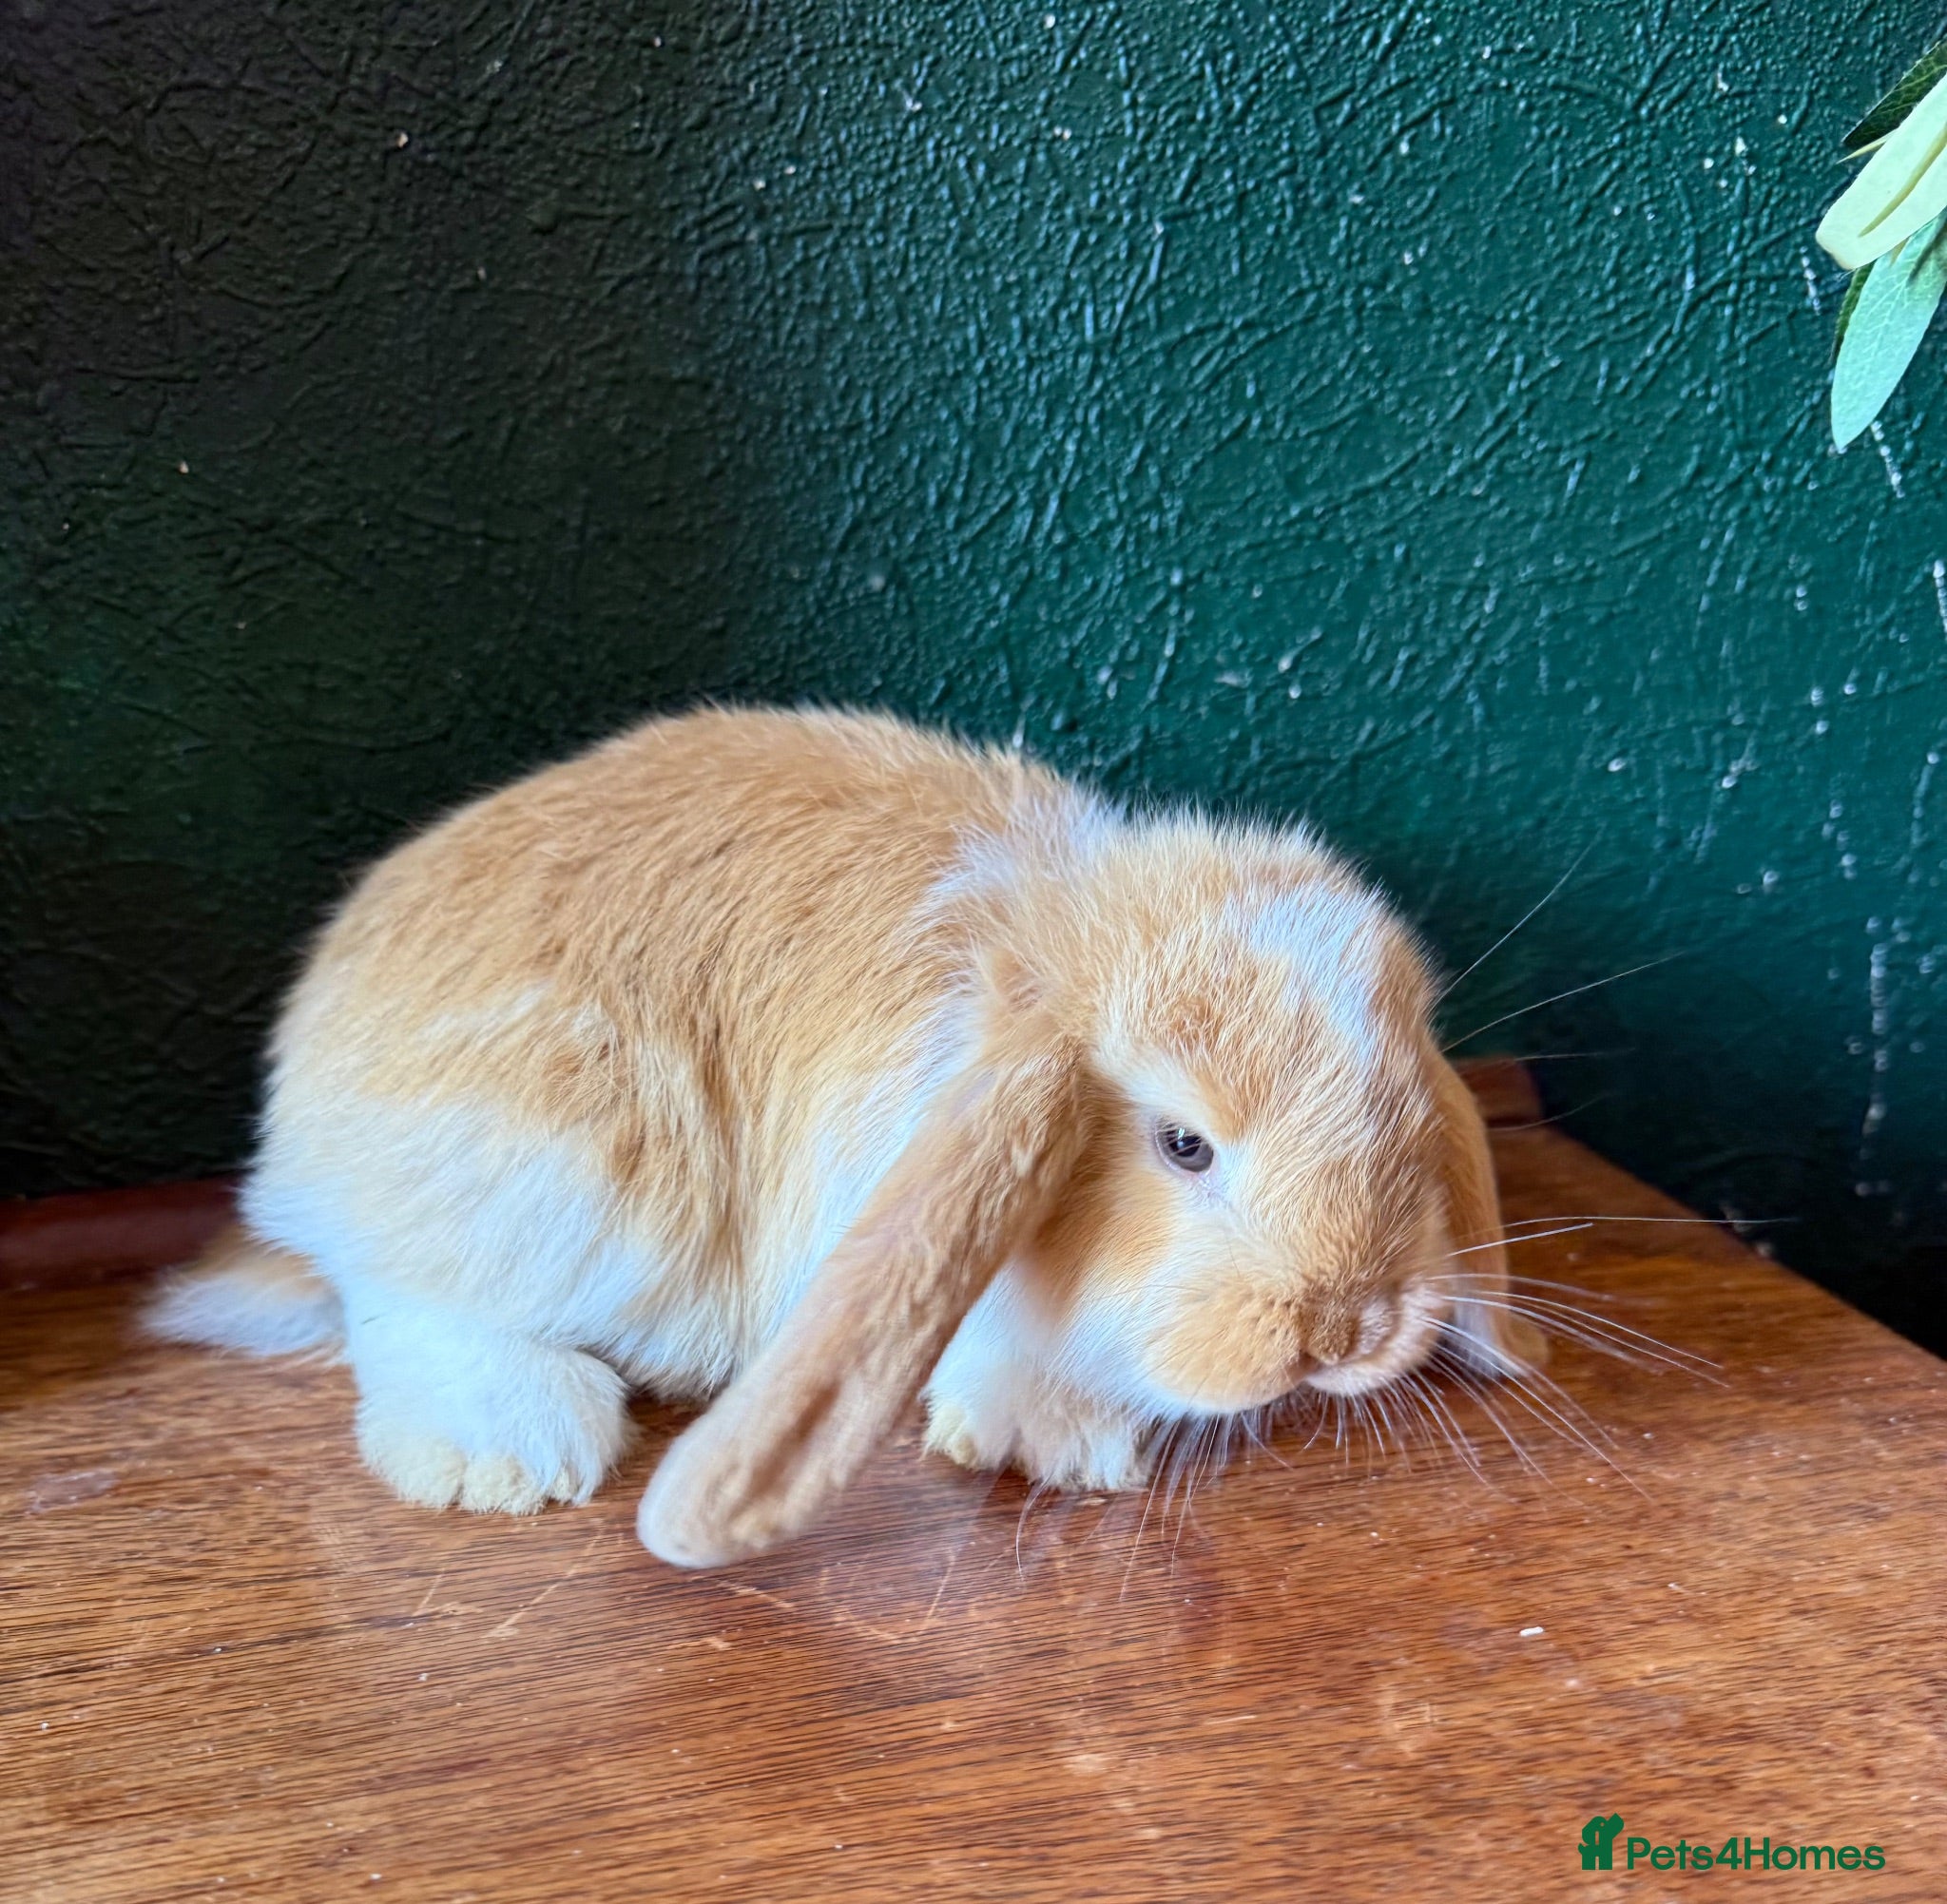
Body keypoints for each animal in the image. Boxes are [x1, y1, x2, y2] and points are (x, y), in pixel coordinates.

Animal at [149, 705, 1542, 1568]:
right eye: (1182, 1145)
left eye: (1405, 1120)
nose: (1346, 1330)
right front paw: (1057, 1444)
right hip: (561, 1173)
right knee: (402, 1297)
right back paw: (509, 1451)